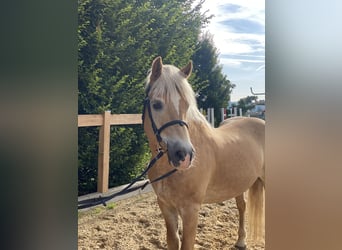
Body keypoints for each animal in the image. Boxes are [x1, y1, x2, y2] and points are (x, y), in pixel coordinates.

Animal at [142, 56, 264, 250]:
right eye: (156, 104)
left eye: (186, 105)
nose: (184, 155)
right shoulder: (166, 206)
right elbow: (172, 241)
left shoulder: (191, 210)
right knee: (242, 206)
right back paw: (241, 240)